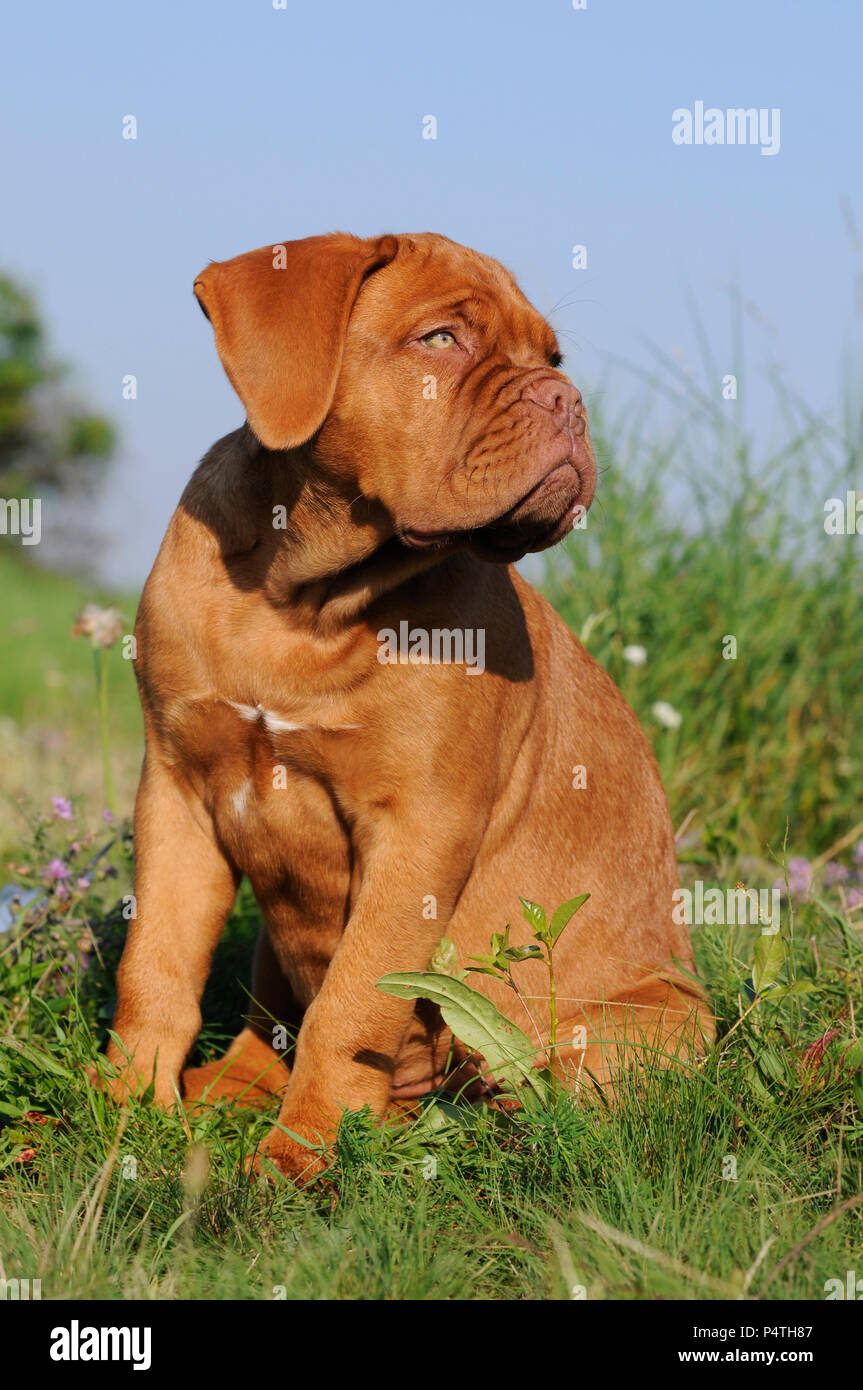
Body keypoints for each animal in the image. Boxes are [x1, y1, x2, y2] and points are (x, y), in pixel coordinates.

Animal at [106, 233, 711, 1178]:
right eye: (439, 340)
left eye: (552, 361)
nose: (566, 401)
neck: (302, 599)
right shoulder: (176, 789)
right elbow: (154, 968)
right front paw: (123, 1108)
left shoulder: (421, 826)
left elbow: (353, 1002)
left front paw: (299, 1157)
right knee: (266, 1025)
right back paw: (222, 1090)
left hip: (633, 1029)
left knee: (530, 1100)